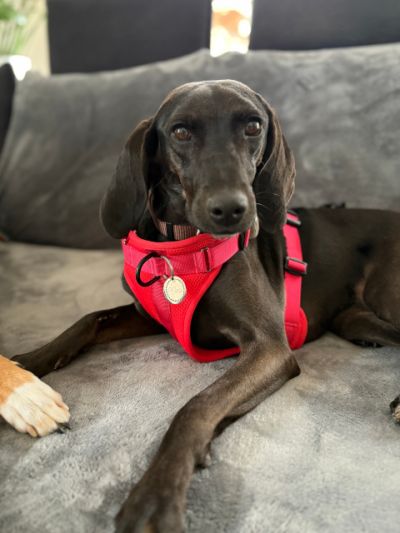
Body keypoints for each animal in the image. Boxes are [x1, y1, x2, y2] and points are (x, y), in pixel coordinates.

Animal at [2, 80, 400, 532]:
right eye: (180, 132)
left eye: (253, 126)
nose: (231, 210)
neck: (182, 245)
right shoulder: (149, 316)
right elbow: (89, 320)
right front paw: (25, 367)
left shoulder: (270, 349)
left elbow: (196, 406)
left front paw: (156, 495)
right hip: (358, 319)